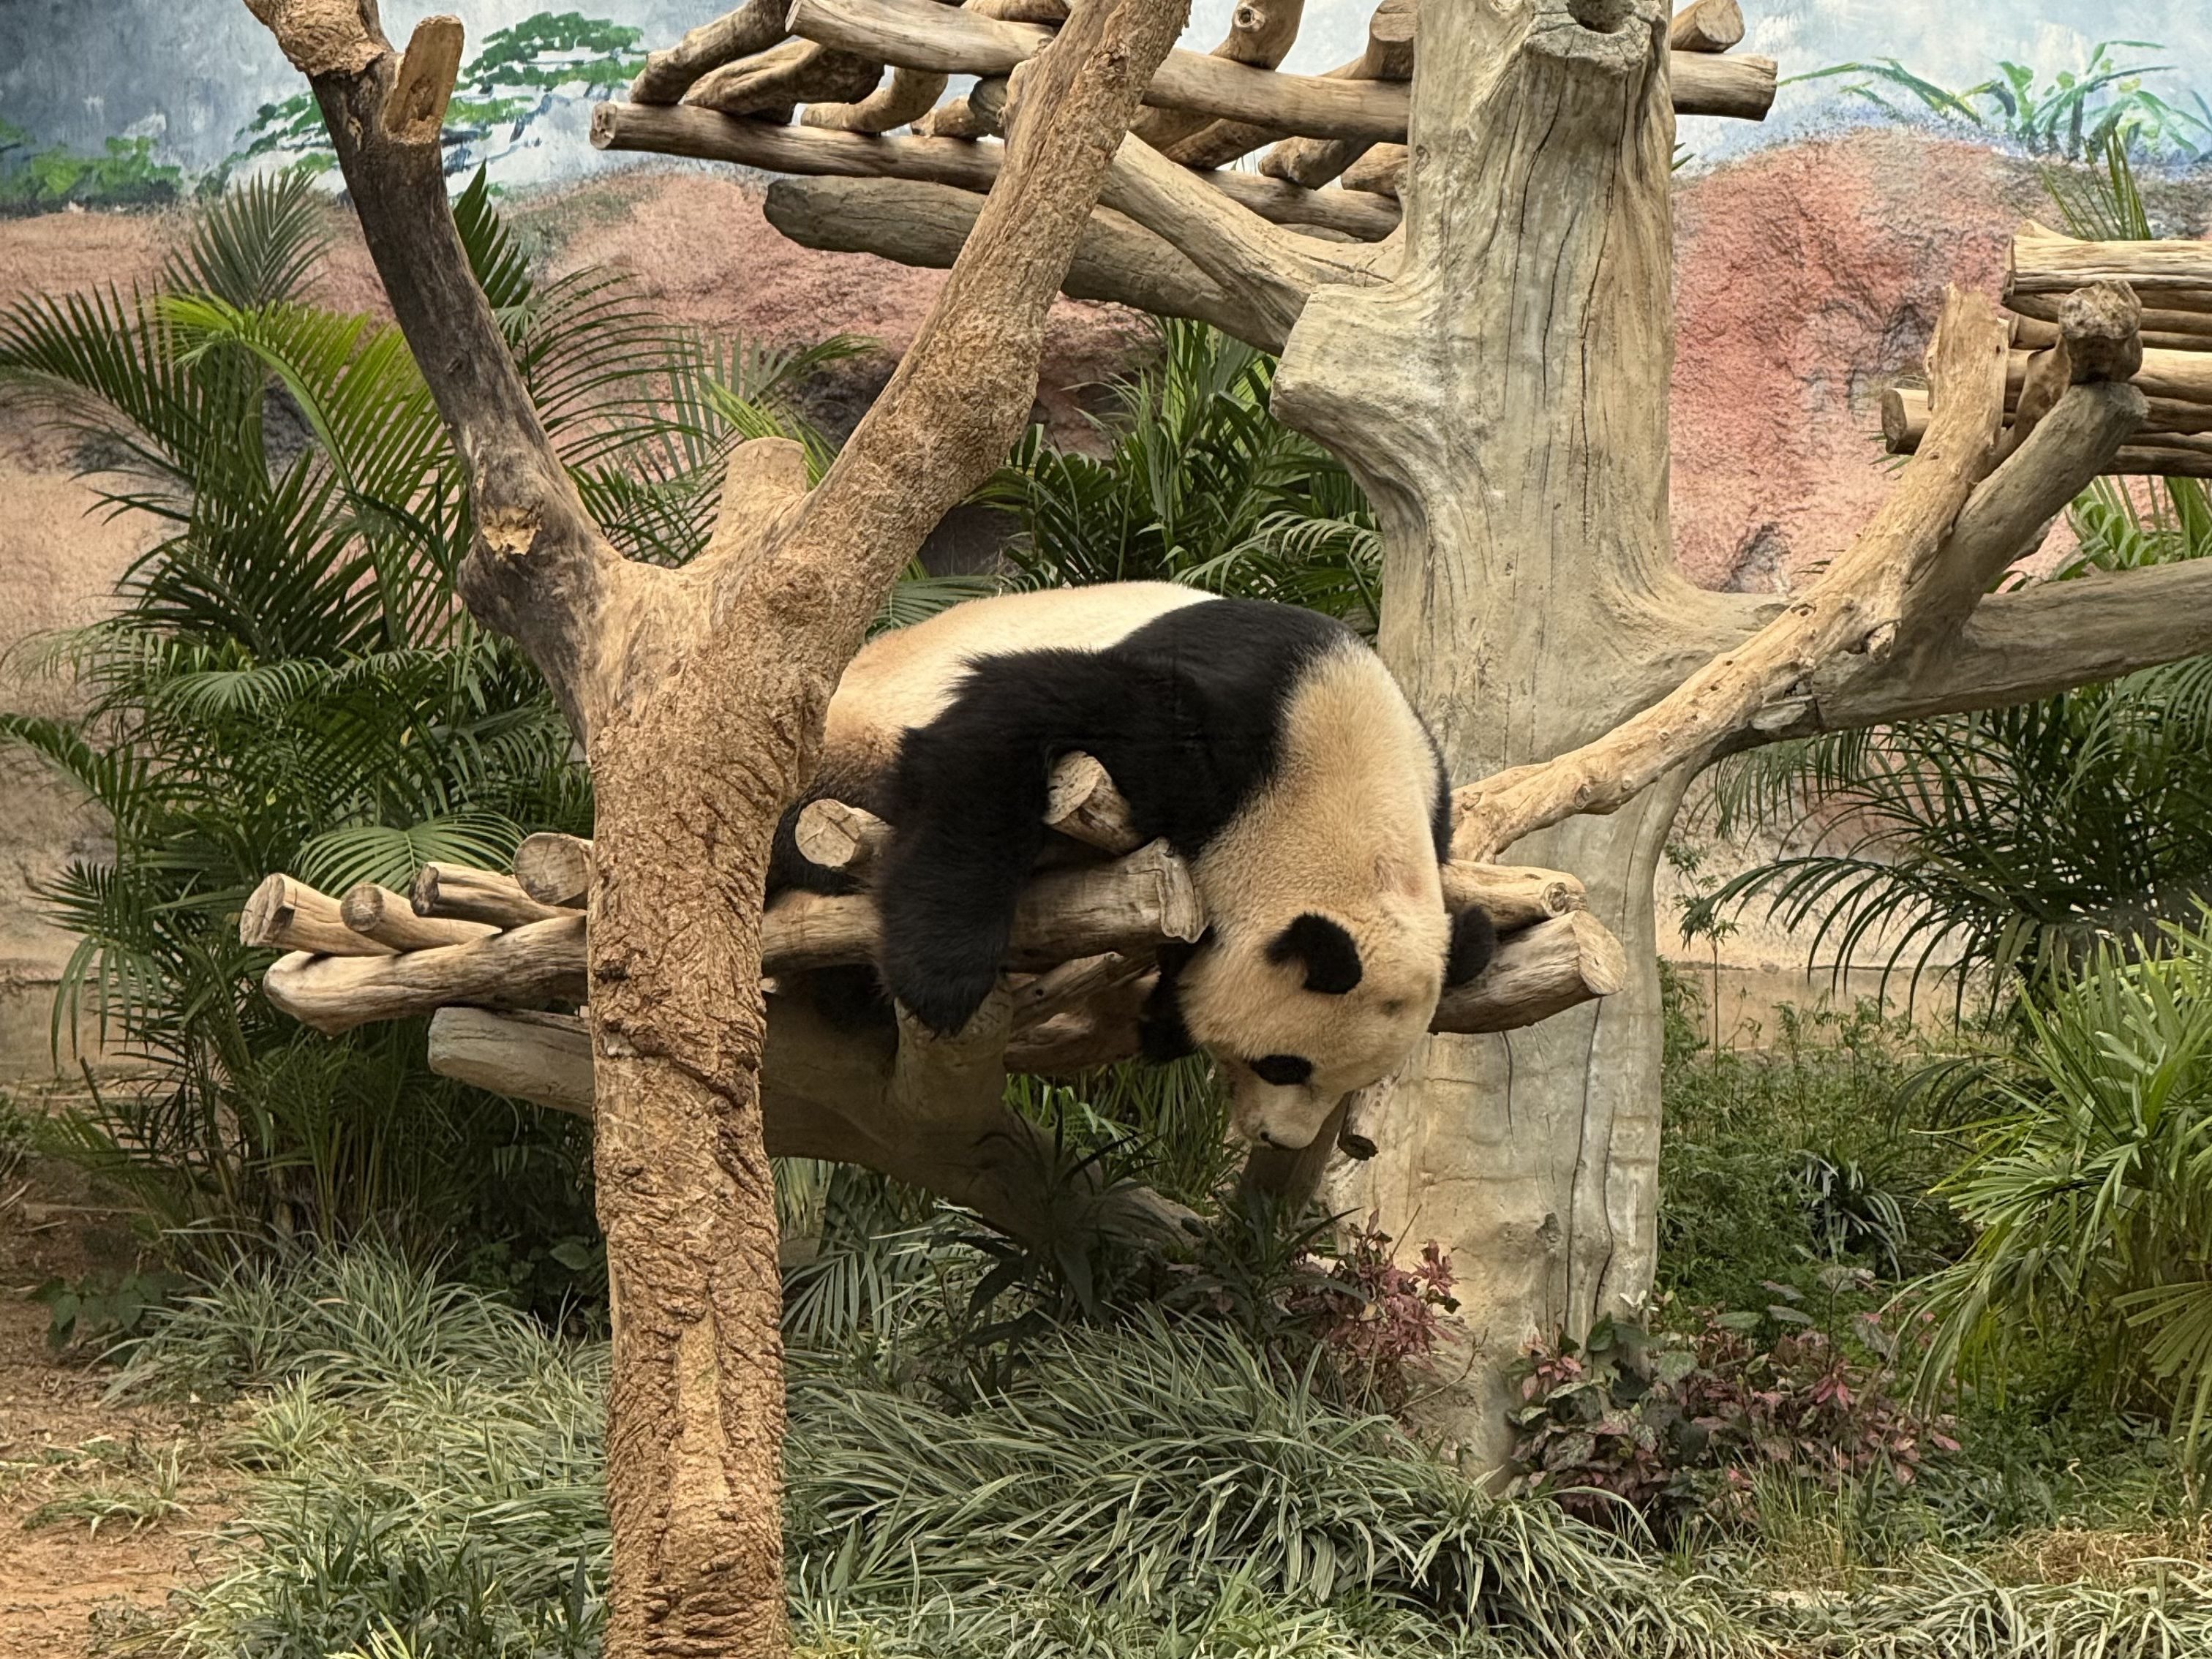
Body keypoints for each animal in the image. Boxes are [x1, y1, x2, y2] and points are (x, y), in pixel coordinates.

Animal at [768, 581, 1495, 1151]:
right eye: (1286, 1066)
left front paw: (1169, 1014)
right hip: (846, 735)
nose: (1278, 1139)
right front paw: (939, 982)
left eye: (1354, 1082)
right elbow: (1008, 715)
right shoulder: (1220, 730)